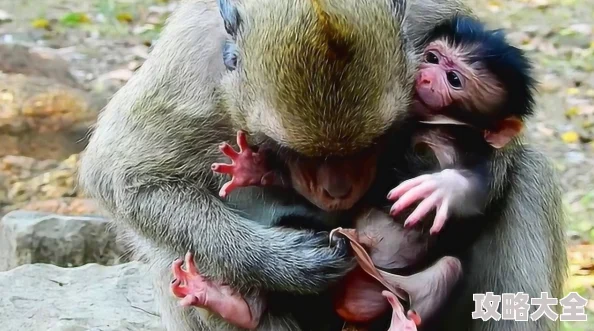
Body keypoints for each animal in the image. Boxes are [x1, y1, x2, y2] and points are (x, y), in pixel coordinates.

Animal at [78, 1, 564, 331]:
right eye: (299, 154)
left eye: (376, 142)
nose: (339, 191)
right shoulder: (193, 68)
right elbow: (128, 178)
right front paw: (286, 263)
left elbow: (502, 147)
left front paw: (443, 187)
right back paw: (236, 305)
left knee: (527, 176)